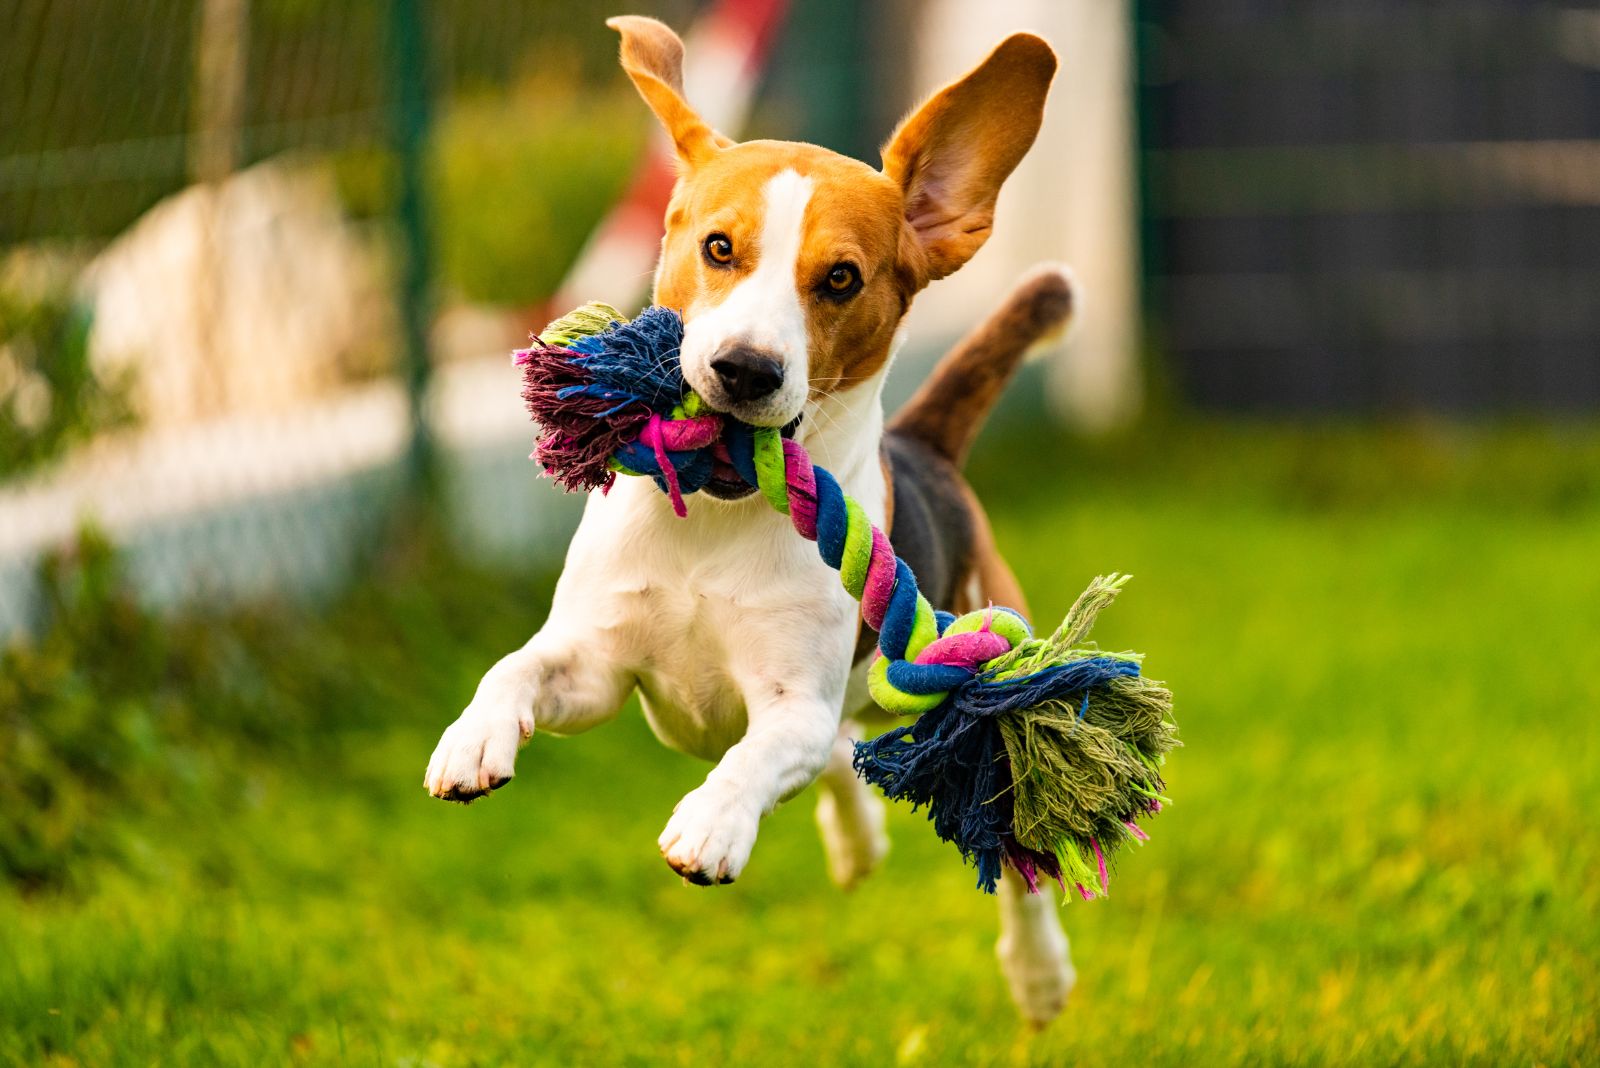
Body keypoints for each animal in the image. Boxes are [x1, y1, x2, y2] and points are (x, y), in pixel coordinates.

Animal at [425, 12, 1075, 1023]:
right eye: (720, 248)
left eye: (841, 278)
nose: (743, 370)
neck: (713, 521)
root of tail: (926, 445)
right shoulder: (599, 672)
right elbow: (518, 667)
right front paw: (473, 737)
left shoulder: (790, 704)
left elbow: (755, 756)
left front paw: (713, 822)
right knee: (847, 756)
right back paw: (857, 840)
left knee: (1012, 859)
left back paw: (1039, 973)